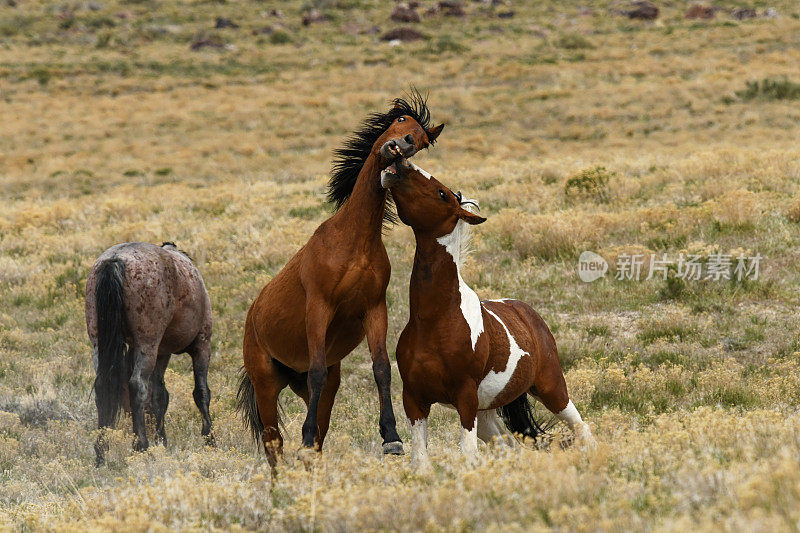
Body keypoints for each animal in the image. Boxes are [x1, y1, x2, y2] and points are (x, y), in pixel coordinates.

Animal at [86, 243, 214, 464]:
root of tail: (115, 260)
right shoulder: (202, 345)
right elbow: (201, 393)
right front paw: (210, 439)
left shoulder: (161, 353)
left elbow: (159, 397)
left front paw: (161, 441)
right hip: (148, 345)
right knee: (137, 385)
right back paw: (141, 445)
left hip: (99, 344)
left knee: (103, 386)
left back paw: (102, 450)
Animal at [238, 92, 446, 466]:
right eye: (401, 121)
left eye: (423, 143)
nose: (404, 144)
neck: (354, 240)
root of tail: (252, 316)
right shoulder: (319, 307)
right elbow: (318, 369)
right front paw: (304, 437)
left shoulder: (374, 309)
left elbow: (382, 368)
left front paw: (391, 438)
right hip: (265, 385)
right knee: (273, 445)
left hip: (308, 389)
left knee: (317, 423)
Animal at [380, 160, 592, 468]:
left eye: (442, 193)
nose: (400, 164)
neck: (436, 319)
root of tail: (529, 314)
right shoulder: (415, 399)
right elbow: (420, 459)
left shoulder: (465, 398)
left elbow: (468, 454)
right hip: (487, 412)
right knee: (509, 445)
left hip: (550, 387)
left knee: (581, 427)